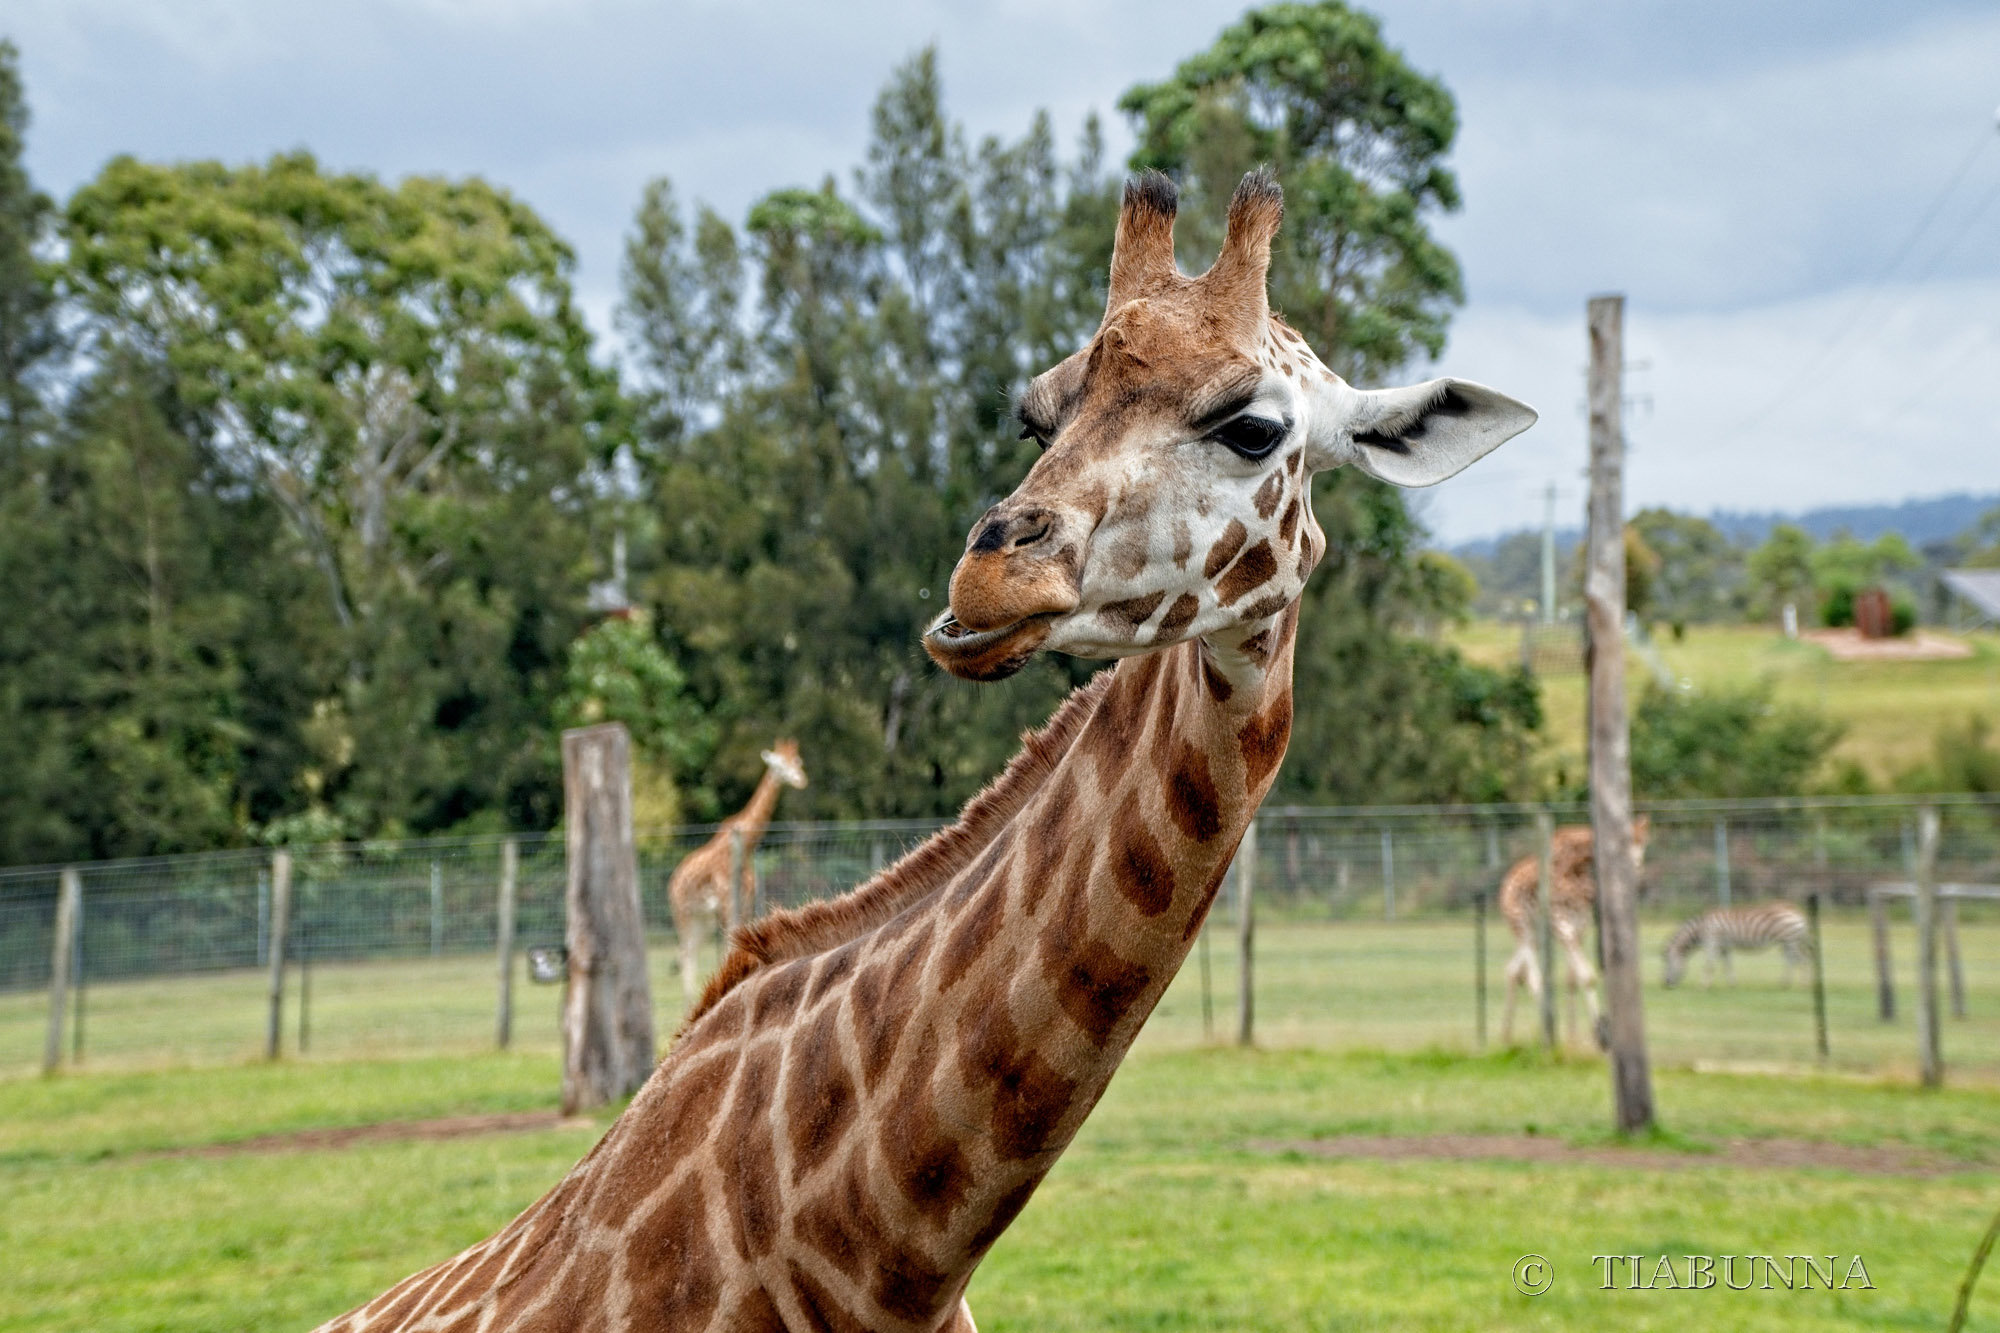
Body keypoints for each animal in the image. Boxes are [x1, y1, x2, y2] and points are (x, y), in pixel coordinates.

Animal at [672, 736, 812, 1008]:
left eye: (798, 761)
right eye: (779, 764)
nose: (801, 780)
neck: (745, 847)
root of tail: (673, 880)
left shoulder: (745, 903)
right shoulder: (727, 902)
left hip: (703, 920)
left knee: (690, 951)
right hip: (683, 913)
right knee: (685, 952)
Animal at [1504, 816, 1656, 1040]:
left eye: (1644, 841)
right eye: (1624, 841)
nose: (1637, 874)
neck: (1575, 867)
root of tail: (1505, 887)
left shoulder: (1580, 924)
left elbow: (1573, 980)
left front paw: (1574, 1038)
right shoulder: (1561, 923)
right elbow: (1587, 977)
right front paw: (1601, 1034)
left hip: (1535, 936)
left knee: (1513, 971)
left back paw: (1506, 1037)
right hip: (1523, 927)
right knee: (1533, 978)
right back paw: (1544, 1035)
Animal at [1656, 896, 1816, 980]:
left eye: (1667, 962)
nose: (1665, 985)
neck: (1702, 928)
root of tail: (1796, 911)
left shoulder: (1712, 940)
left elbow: (1709, 964)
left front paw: (1703, 987)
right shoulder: (1723, 945)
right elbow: (1727, 964)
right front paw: (1732, 984)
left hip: (1791, 940)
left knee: (1801, 960)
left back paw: (1804, 984)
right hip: (1786, 942)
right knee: (1792, 960)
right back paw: (1785, 984)